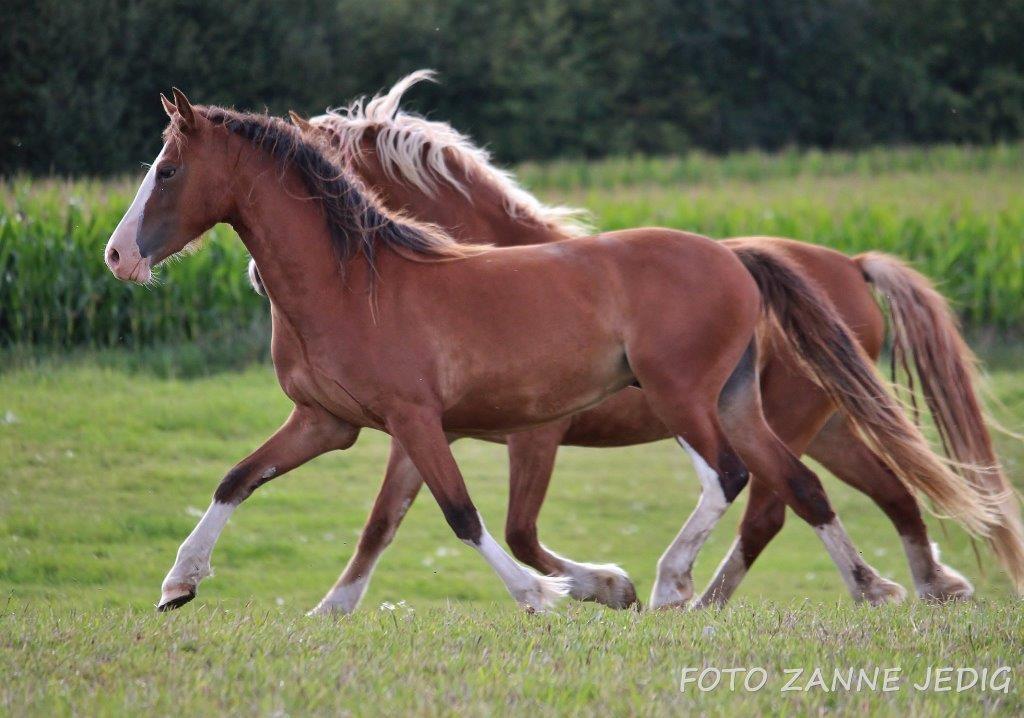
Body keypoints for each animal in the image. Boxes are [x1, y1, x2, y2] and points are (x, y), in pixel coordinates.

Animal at [105, 92, 999, 614]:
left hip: (687, 396)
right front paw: (187, 586)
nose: (117, 257)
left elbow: (468, 518)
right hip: (754, 404)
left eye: (168, 168)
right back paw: (875, 586)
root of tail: (738, 257)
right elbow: (257, 484)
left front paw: (555, 593)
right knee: (802, 489)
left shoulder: (447, 424)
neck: (356, 282)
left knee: (738, 482)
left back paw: (677, 585)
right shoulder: (337, 423)